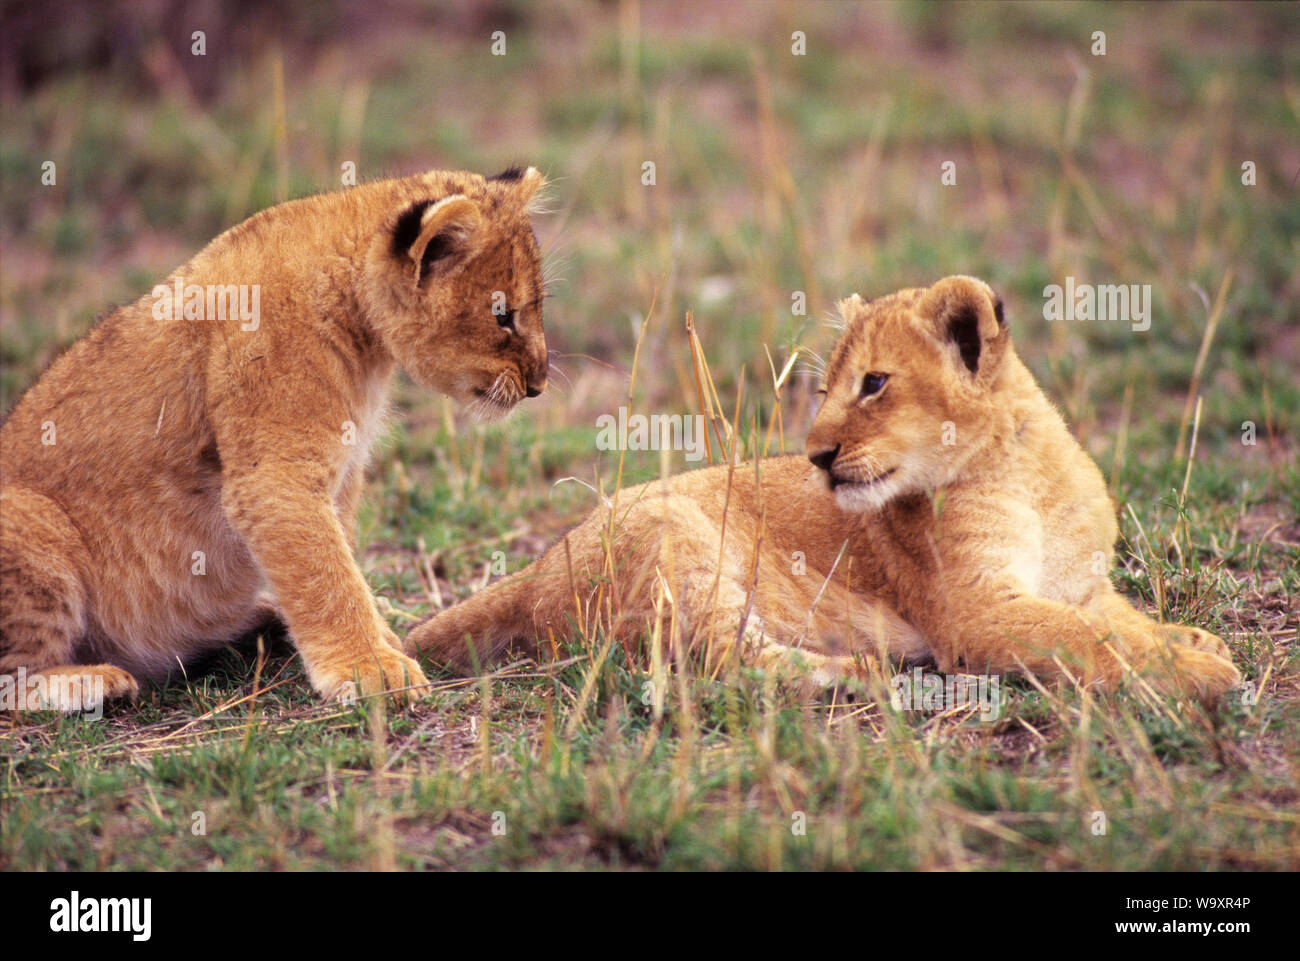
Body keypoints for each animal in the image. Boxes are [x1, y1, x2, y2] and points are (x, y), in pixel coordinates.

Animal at [1, 166, 549, 711]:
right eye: (503, 315)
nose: (540, 385)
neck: (365, 335)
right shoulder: (276, 476)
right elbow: (328, 574)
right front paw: (372, 665)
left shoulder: (340, 472)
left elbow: (341, 560)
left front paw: (381, 639)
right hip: (33, 520)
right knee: (12, 681)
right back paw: (92, 680)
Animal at [405, 276, 1241, 702]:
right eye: (827, 388)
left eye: (873, 384)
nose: (815, 455)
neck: (1026, 471)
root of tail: (535, 569)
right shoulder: (976, 613)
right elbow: (1089, 639)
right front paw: (1203, 671)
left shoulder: (1082, 585)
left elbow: (1118, 624)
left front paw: (1192, 641)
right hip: (680, 545)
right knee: (730, 665)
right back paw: (867, 672)